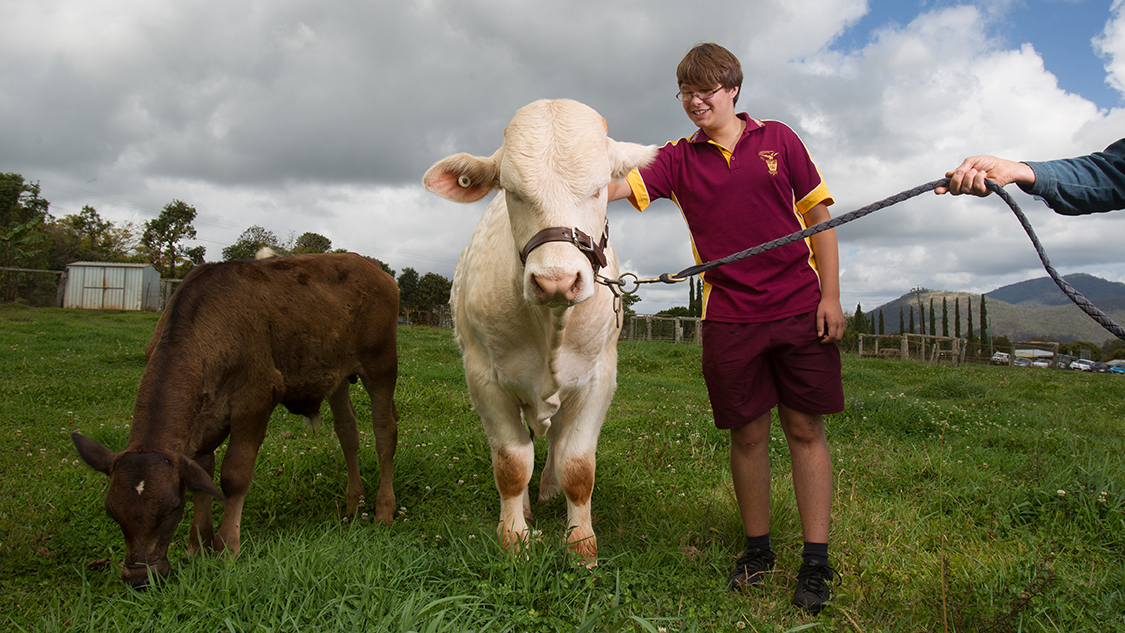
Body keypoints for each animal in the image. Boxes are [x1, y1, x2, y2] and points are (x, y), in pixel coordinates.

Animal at [71, 252, 400, 589]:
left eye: (171, 509)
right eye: (113, 512)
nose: (139, 576)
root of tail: (370, 266)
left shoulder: (255, 399)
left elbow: (234, 475)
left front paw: (227, 546)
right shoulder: (202, 420)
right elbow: (202, 474)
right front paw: (197, 546)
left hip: (381, 366)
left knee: (385, 432)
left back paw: (383, 508)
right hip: (337, 376)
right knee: (348, 432)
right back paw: (353, 502)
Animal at [423, 98, 657, 564]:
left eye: (599, 188)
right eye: (511, 191)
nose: (556, 281)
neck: (551, 325)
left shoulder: (599, 378)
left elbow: (578, 465)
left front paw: (582, 543)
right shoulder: (484, 378)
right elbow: (512, 463)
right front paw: (514, 535)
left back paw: (548, 488)